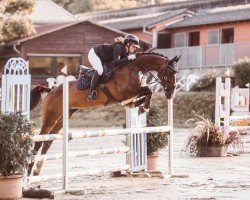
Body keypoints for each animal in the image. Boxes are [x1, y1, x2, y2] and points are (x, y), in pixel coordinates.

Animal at [28, 52, 181, 176]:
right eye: (170, 72)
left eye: (176, 73)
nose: (171, 93)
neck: (135, 67)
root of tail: (51, 90)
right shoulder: (125, 92)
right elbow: (148, 89)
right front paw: (144, 107)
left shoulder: (129, 94)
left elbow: (144, 94)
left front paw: (139, 106)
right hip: (51, 117)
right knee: (40, 140)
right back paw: (29, 170)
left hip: (64, 116)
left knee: (48, 141)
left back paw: (36, 170)